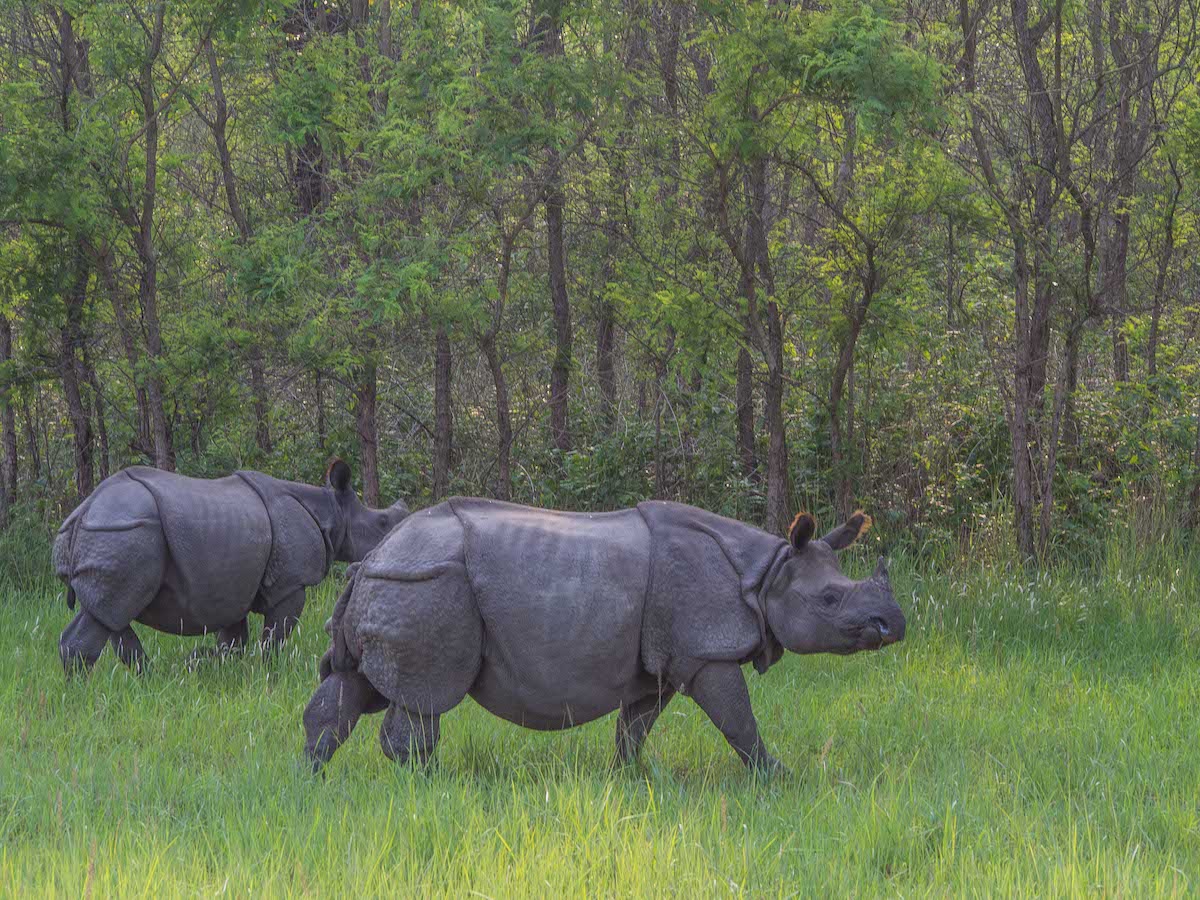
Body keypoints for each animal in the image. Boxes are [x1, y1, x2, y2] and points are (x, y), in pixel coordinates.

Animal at [54, 458, 410, 676]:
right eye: (382, 523)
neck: (332, 511)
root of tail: (83, 510)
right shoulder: (291, 583)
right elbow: (274, 639)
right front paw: (270, 677)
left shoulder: (232, 584)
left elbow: (234, 643)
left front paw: (207, 665)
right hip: (121, 531)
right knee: (110, 611)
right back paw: (80, 696)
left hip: (115, 535)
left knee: (111, 613)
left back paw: (149, 681)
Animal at [304, 501, 902, 777]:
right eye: (830, 600)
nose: (894, 623)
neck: (768, 572)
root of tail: (372, 559)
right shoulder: (705, 651)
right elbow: (739, 721)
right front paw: (778, 776)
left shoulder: (662, 662)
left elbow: (634, 726)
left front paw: (631, 778)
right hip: (429, 584)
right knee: (424, 697)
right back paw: (430, 783)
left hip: (396, 584)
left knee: (352, 684)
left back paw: (310, 774)